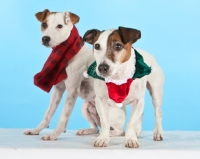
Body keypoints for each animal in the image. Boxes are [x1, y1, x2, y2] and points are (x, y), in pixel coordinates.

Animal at [24, 9, 101, 140]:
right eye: (44, 24)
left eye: (60, 26)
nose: (45, 38)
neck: (67, 54)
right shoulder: (58, 89)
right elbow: (48, 113)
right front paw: (36, 130)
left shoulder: (72, 90)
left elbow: (63, 116)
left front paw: (54, 135)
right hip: (85, 107)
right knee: (96, 128)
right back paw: (87, 131)